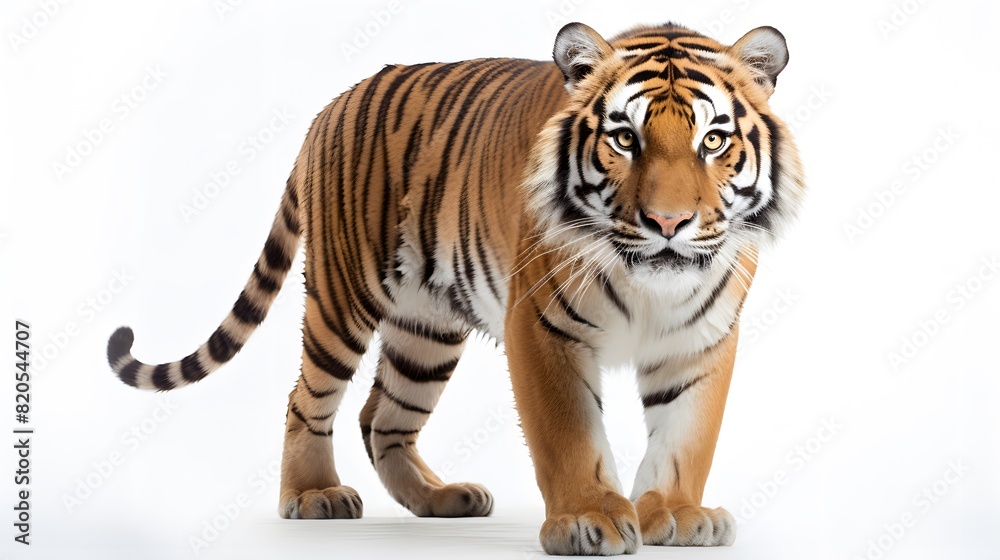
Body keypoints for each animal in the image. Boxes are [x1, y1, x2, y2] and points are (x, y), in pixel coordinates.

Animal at [106, 21, 804, 555]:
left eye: (713, 139)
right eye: (624, 138)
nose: (668, 222)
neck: (649, 287)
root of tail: (328, 108)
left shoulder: (702, 341)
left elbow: (687, 436)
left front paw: (679, 514)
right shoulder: (542, 329)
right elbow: (570, 433)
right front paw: (590, 518)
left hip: (426, 327)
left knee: (382, 416)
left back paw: (441, 498)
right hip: (342, 296)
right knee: (308, 399)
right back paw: (313, 494)